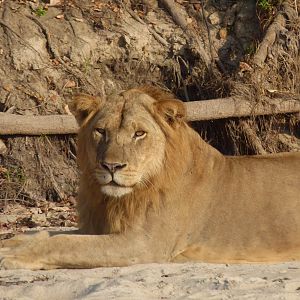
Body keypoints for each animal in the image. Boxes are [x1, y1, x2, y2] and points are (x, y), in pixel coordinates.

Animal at [0, 86, 300, 270]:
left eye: (139, 134)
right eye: (101, 131)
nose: (112, 166)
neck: (117, 200)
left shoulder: (143, 244)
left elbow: (62, 243)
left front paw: (14, 257)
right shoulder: (100, 227)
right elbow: (46, 234)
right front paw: (10, 245)